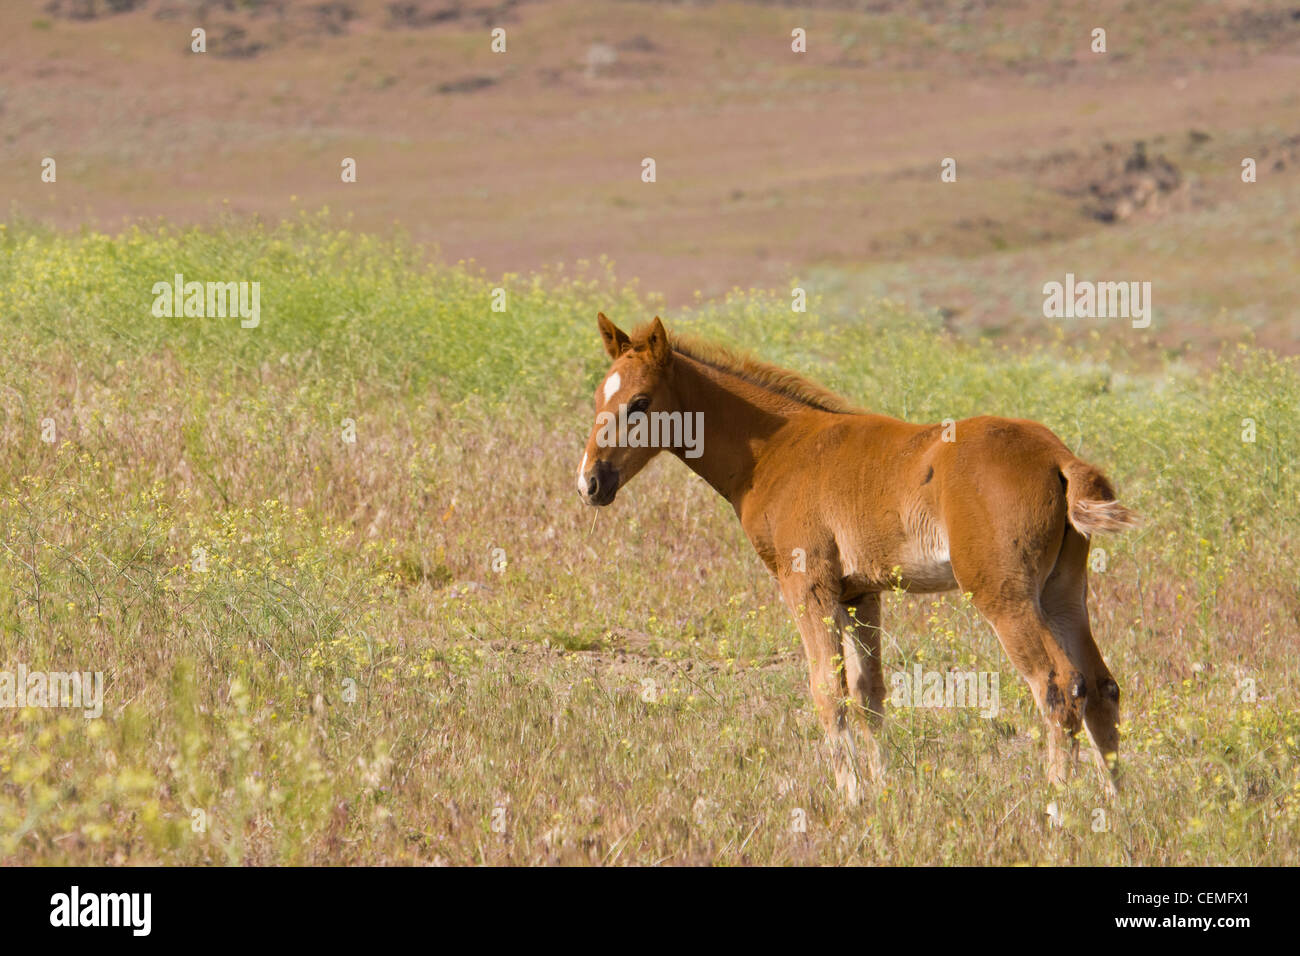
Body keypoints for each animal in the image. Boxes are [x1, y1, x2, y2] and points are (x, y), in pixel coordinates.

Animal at [577, 313, 1137, 802]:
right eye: (599, 397)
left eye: (640, 403)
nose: (590, 483)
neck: (777, 449)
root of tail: (1058, 457)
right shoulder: (859, 592)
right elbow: (870, 694)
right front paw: (883, 792)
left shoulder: (809, 584)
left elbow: (829, 691)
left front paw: (849, 798)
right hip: (1062, 591)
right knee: (1101, 686)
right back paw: (1118, 808)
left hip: (1003, 592)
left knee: (1058, 686)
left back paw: (1057, 807)